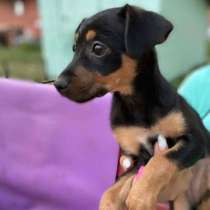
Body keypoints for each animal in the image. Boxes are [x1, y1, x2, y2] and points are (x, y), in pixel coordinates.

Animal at [55, 4, 210, 210]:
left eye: (98, 48)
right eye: (74, 48)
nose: (58, 84)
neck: (134, 103)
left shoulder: (195, 140)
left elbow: (162, 160)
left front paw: (140, 196)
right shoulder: (137, 157)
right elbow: (111, 192)